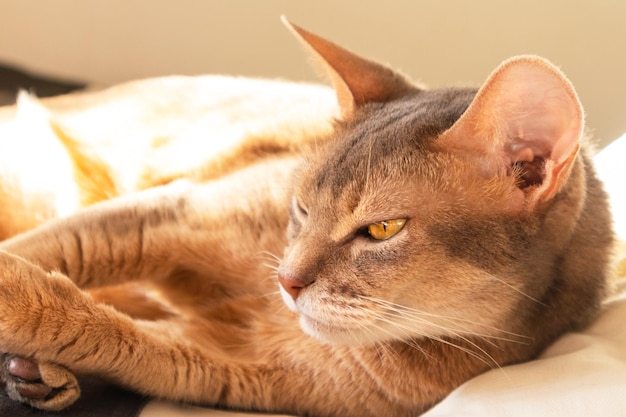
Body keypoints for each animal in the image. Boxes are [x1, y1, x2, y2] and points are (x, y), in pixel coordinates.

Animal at [0, 17, 612, 414]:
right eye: (300, 207)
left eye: (381, 229)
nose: (288, 282)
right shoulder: (168, 213)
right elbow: (57, 251)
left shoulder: (215, 362)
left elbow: (100, 329)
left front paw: (42, 349)